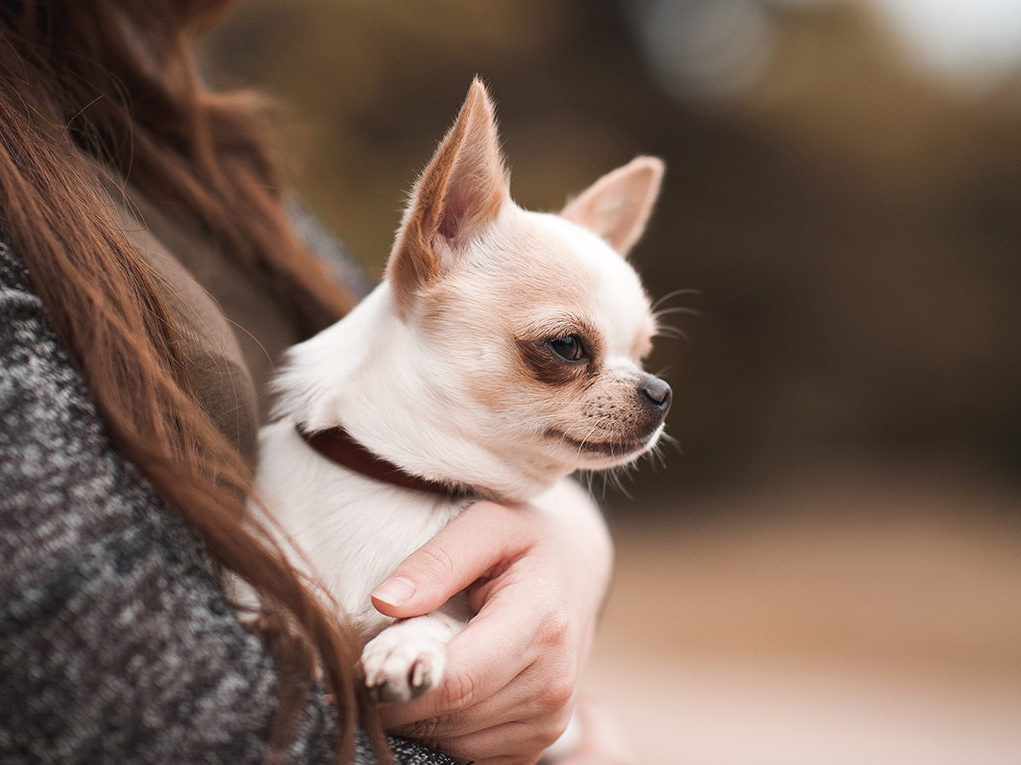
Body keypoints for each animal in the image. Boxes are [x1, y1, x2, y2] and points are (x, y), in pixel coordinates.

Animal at [255, 79, 669, 702]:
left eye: (643, 353)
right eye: (567, 346)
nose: (660, 390)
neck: (407, 483)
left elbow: (444, 616)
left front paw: (406, 643)